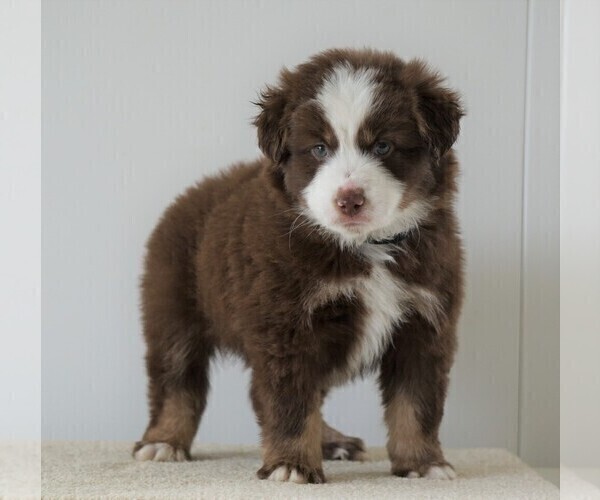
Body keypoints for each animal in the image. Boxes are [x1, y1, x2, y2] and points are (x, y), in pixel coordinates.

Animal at [135, 47, 464, 484]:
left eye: (383, 147)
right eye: (320, 149)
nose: (349, 200)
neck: (364, 247)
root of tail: (191, 194)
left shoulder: (424, 323)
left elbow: (417, 405)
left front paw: (424, 465)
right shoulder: (285, 325)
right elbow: (290, 403)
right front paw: (291, 464)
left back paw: (333, 442)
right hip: (173, 308)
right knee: (175, 381)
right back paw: (163, 441)